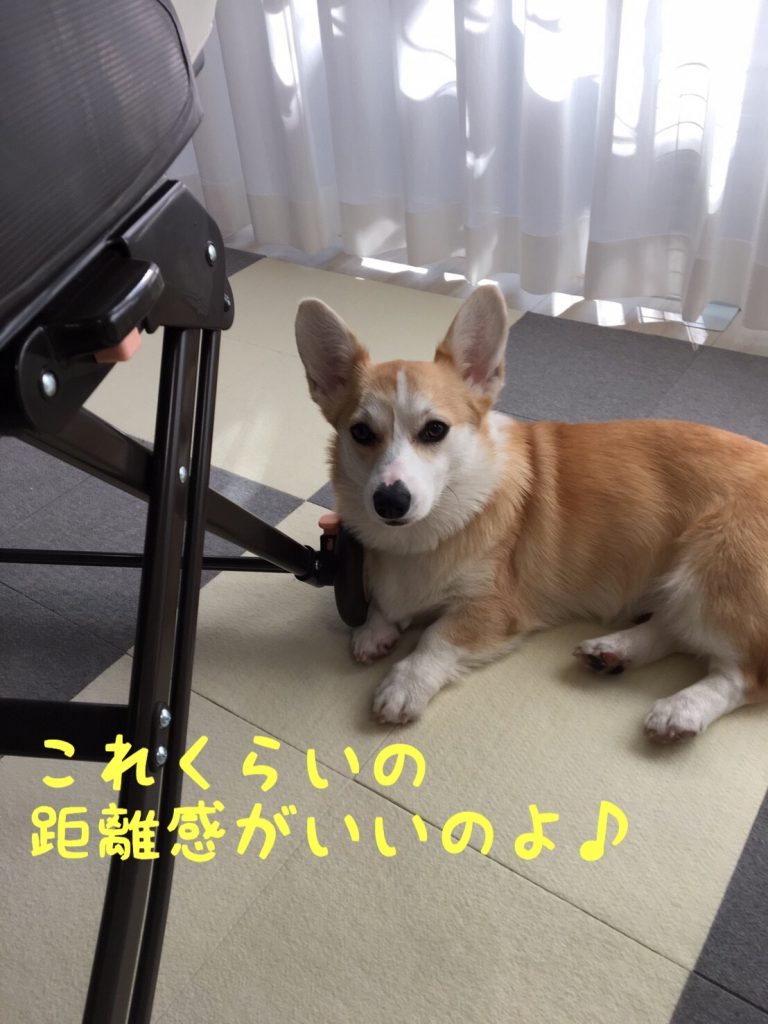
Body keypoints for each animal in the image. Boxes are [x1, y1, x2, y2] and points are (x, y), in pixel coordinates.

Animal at [295, 284, 768, 740]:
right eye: (360, 432)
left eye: (434, 430)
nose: (390, 501)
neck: (423, 533)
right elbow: (383, 606)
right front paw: (374, 629)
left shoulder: (496, 606)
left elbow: (436, 637)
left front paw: (404, 685)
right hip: (685, 588)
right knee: (673, 628)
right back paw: (612, 651)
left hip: (708, 573)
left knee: (743, 673)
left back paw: (681, 710)